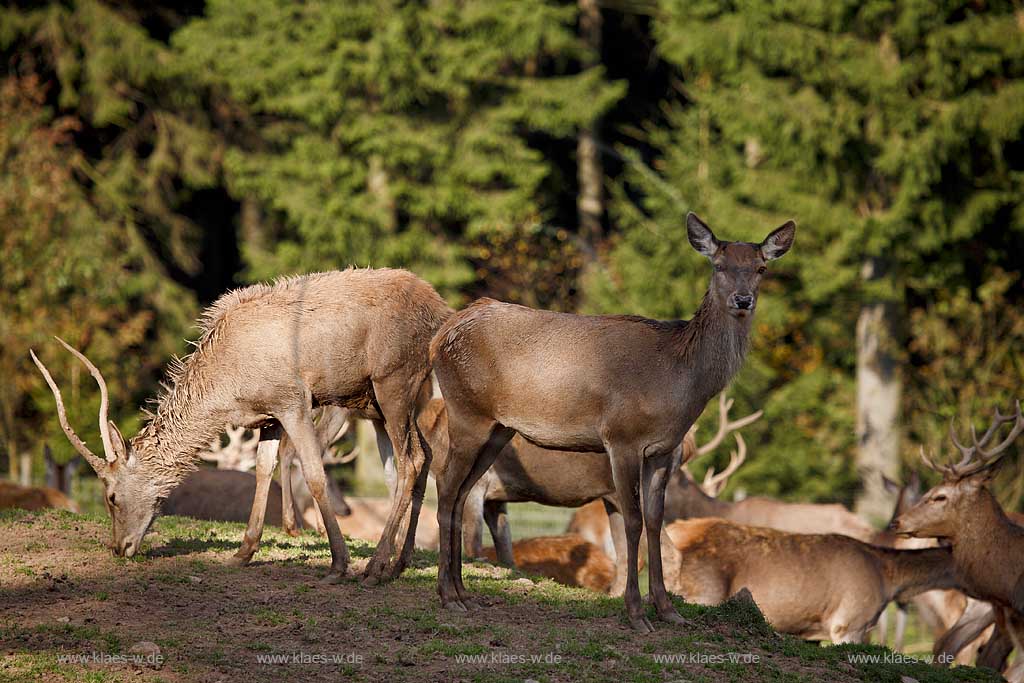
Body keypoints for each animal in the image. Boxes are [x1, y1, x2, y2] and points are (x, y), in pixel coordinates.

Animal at [33, 266, 448, 581]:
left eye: (112, 496)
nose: (119, 547)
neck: (227, 387)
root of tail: (440, 311)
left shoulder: (293, 400)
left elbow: (314, 473)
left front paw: (338, 563)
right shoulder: (267, 416)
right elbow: (264, 470)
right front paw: (243, 552)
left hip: (393, 382)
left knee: (410, 461)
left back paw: (375, 567)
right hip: (387, 401)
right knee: (421, 459)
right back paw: (399, 563)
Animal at [428, 211, 794, 630]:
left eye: (761, 268)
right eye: (718, 265)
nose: (743, 300)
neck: (679, 382)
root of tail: (440, 336)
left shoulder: (663, 450)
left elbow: (655, 520)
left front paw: (668, 610)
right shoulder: (622, 437)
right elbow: (633, 522)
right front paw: (636, 612)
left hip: (498, 430)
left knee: (460, 493)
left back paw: (463, 593)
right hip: (467, 412)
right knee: (446, 487)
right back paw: (447, 596)